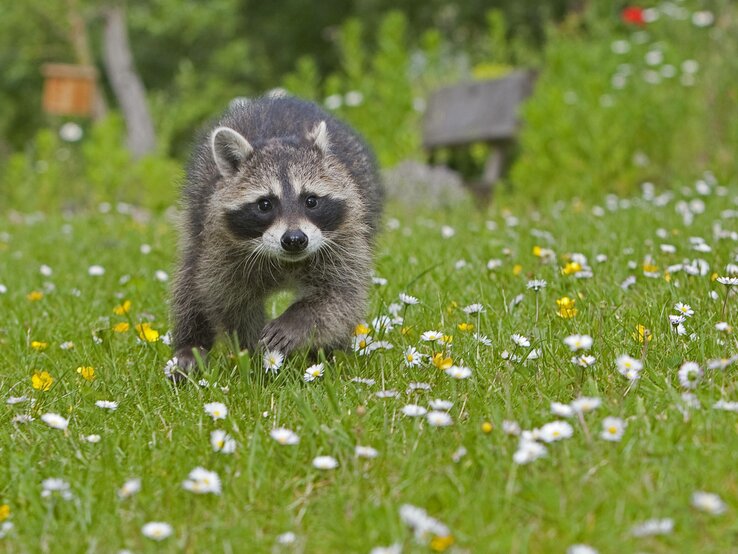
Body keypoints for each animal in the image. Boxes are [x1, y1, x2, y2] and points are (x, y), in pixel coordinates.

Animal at [167, 96, 382, 380]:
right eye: (265, 204)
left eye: (311, 201)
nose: (294, 239)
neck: (286, 262)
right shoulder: (222, 247)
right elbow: (232, 302)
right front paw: (254, 353)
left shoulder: (345, 240)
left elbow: (340, 296)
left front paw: (296, 322)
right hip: (196, 218)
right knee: (191, 279)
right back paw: (190, 346)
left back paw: (328, 352)